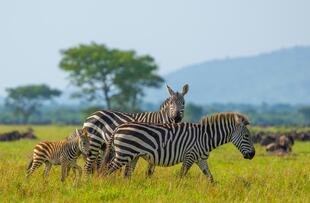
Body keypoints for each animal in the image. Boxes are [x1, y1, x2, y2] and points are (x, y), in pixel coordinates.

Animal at [100, 112, 256, 182]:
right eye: (246, 136)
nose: (253, 155)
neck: (206, 137)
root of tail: (118, 128)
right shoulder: (190, 156)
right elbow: (181, 176)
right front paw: (177, 189)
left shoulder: (201, 159)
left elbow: (210, 178)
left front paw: (214, 192)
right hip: (123, 154)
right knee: (106, 170)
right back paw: (102, 185)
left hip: (132, 156)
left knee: (127, 174)